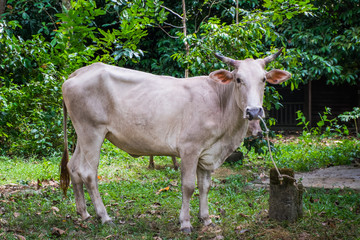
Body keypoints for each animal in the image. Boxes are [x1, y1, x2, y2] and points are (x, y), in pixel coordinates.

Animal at [60, 49, 292, 232]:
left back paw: (84, 214)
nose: (254, 111)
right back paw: (104, 216)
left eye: (263, 80)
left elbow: (205, 186)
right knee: (89, 173)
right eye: (238, 79)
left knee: (74, 168)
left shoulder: (207, 153)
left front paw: (206, 219)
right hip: (92, 132)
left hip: (82, 135)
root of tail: (80, 72)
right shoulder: (190, 149)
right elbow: (188, 186)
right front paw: (186, 223)